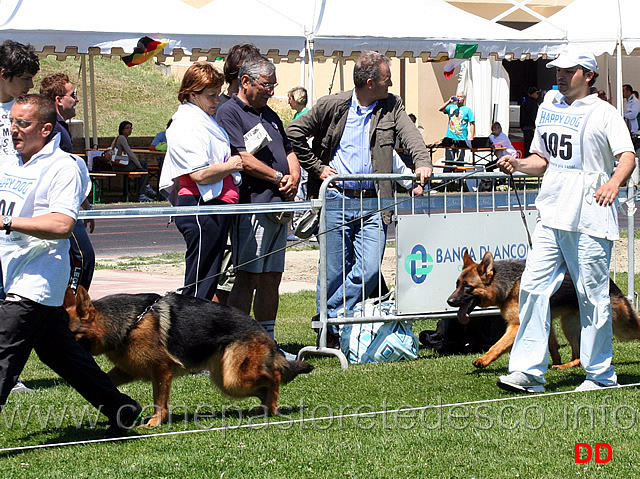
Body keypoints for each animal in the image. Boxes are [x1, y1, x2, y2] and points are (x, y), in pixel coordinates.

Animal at [63, 284, 314, 428]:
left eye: (70, 332)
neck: (132, 322)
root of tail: (263, 331)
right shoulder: (127, 370)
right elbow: (104, 381)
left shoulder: (161, 370)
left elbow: (159, 401)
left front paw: (155, 422)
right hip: (227, 380)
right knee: (265, 385)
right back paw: (264, 409)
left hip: (234, 379)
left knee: (275, 377)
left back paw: (271, 408)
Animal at [444, 251, 640, 372]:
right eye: (457, 284)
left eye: (468, 287)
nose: (449, 301)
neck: (507, 285)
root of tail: (609, 282)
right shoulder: (545, 320)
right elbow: (552, 344)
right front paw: (554, 361)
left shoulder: (517, 325)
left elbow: (497, 345)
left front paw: (483, 360)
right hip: (568, 325)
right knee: (578, 356)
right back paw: (564, 366)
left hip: (617, 323)